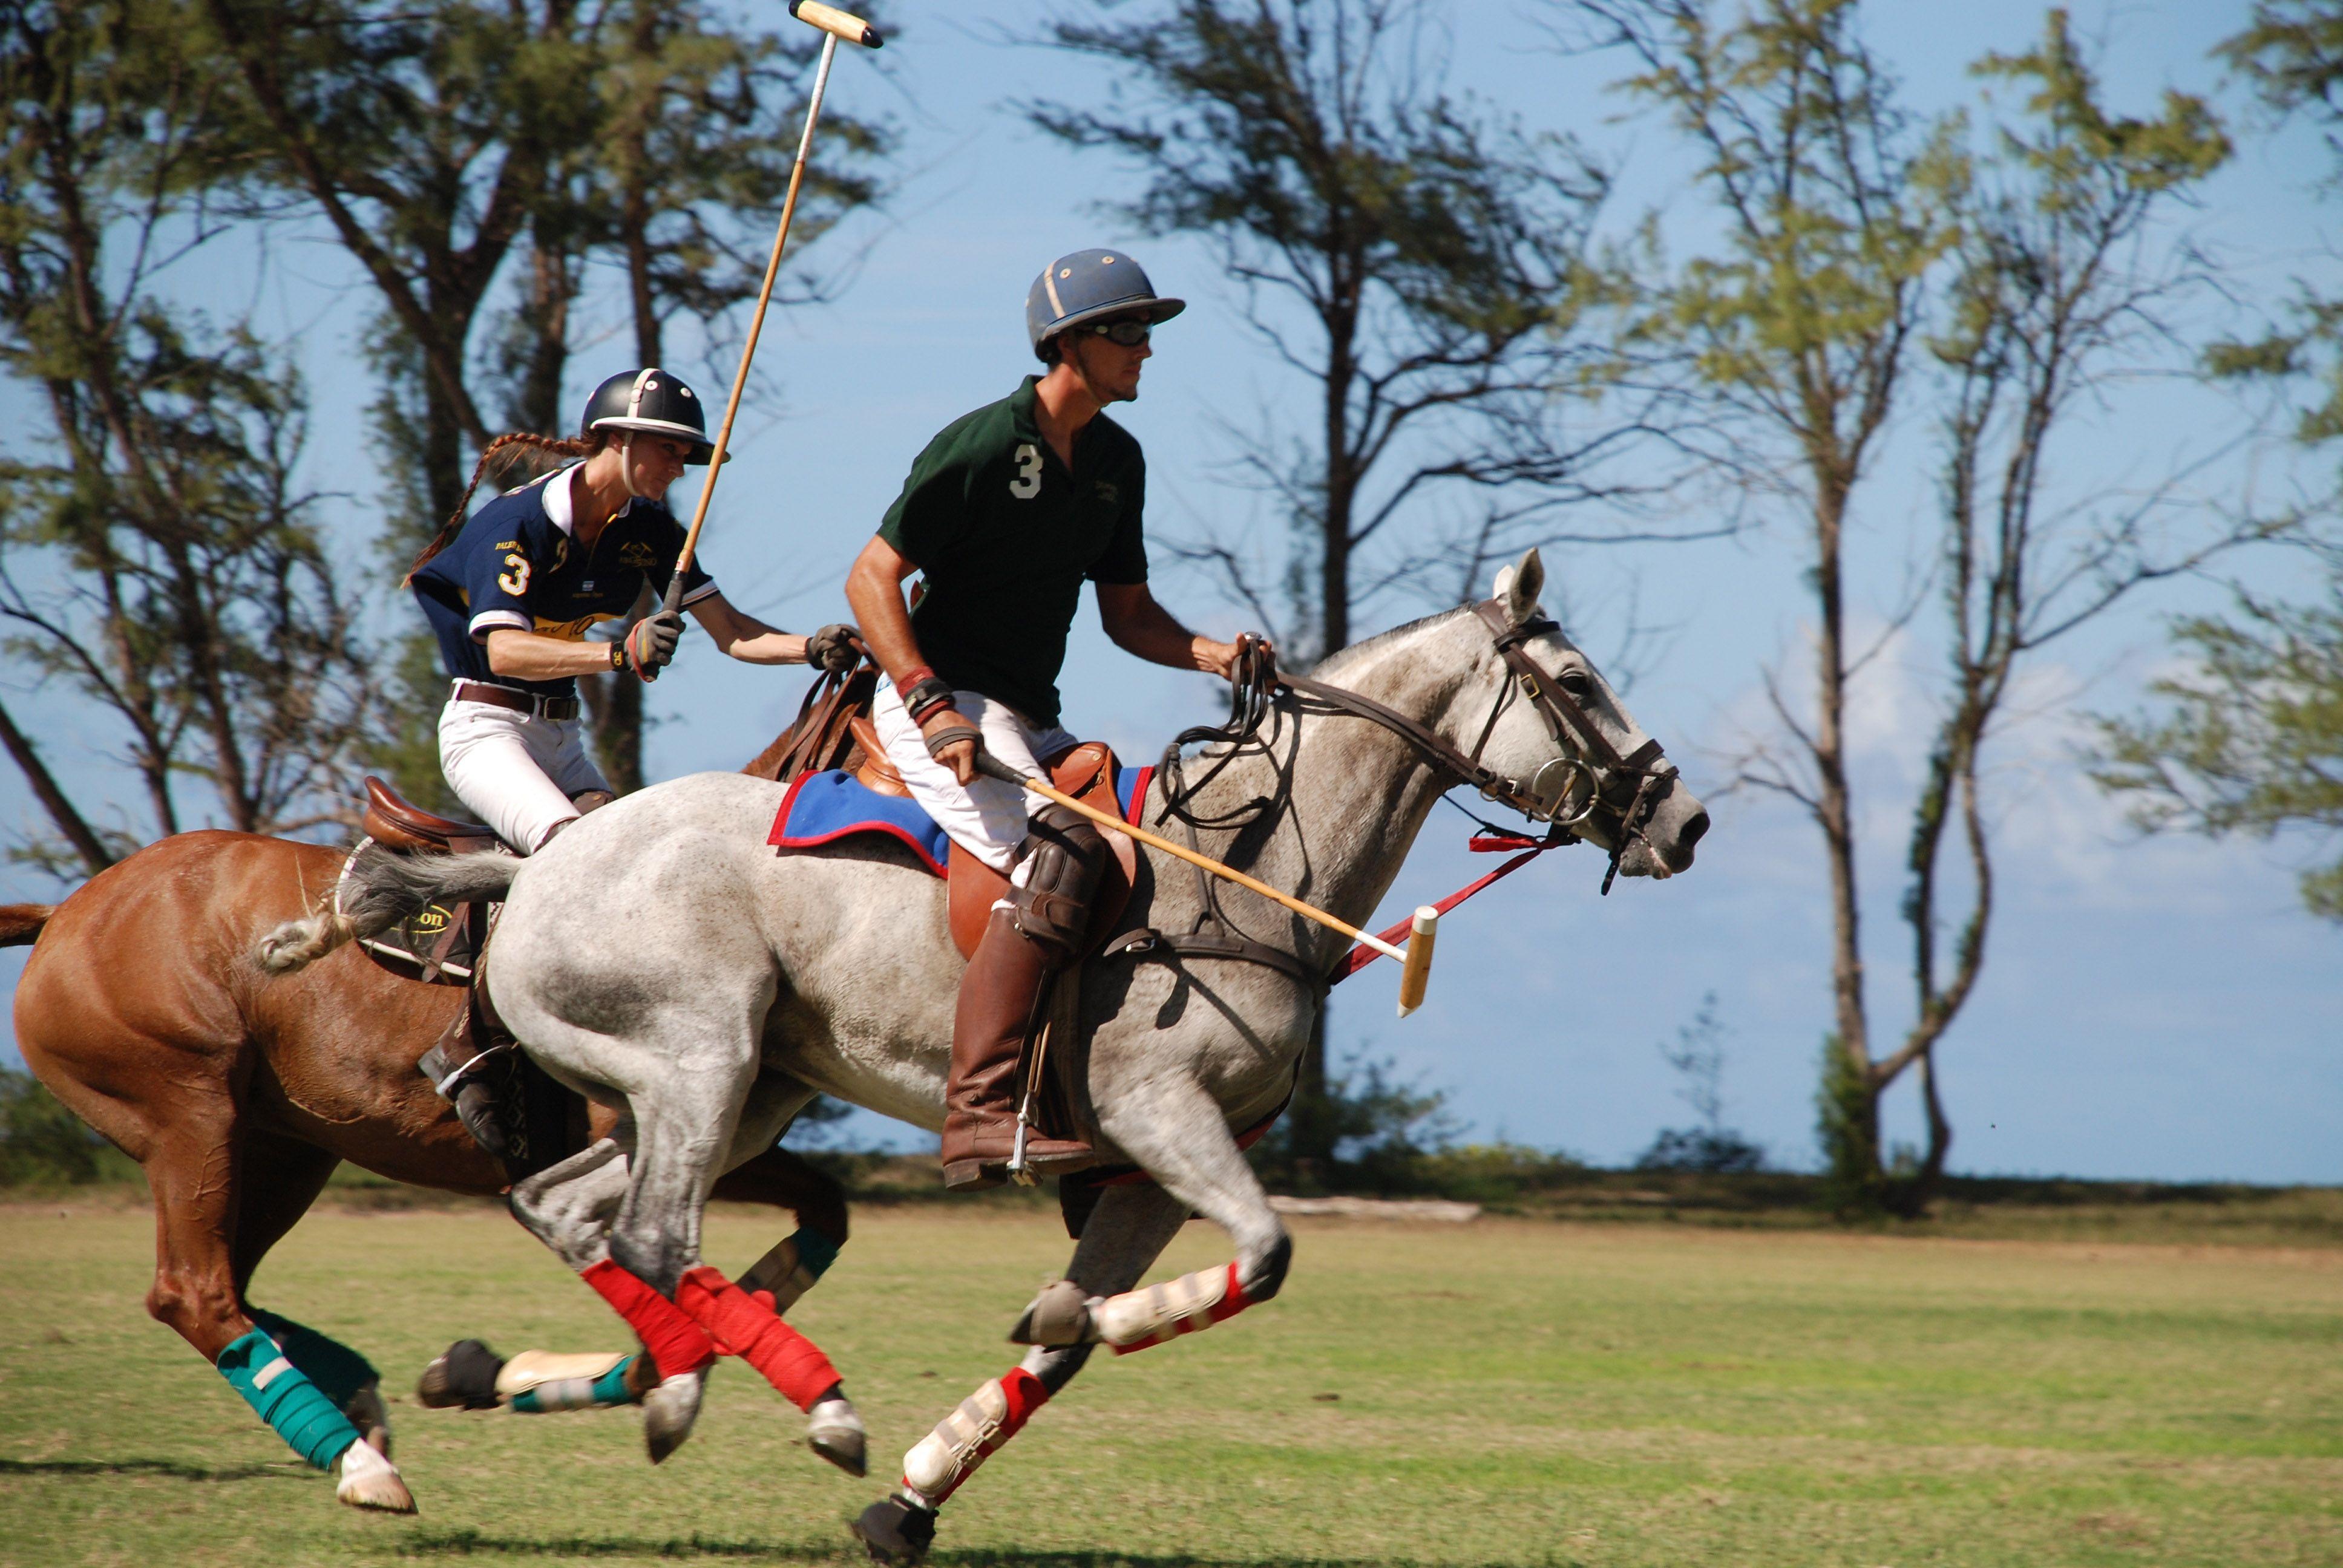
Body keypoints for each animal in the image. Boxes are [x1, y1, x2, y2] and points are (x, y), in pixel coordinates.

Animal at [4, 825, 848, 1509]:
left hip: (284, 1148)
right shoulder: (652, 1129)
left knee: (232, 1283)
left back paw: (363, 1411)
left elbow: (820, 1212)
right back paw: (361, 1463)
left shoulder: (722, 1141)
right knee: (195, 1292)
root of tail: (69, 910)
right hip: (189, 1113)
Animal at [269, 550, 1705, 1556]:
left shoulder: (1141, 1169)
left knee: (566, 1207)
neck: (1251, 872)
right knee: (650, 1233)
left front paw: (913, 1498)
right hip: (699, 1053)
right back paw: (757, 1404)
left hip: (748, 1085)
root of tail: (539, 857)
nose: (1680, 823)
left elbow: (1067, 1349)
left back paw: (561, 1381)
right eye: (1579, 686)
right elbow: (1257, 1256)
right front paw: (1080, 1317)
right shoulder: (1159, 1112)